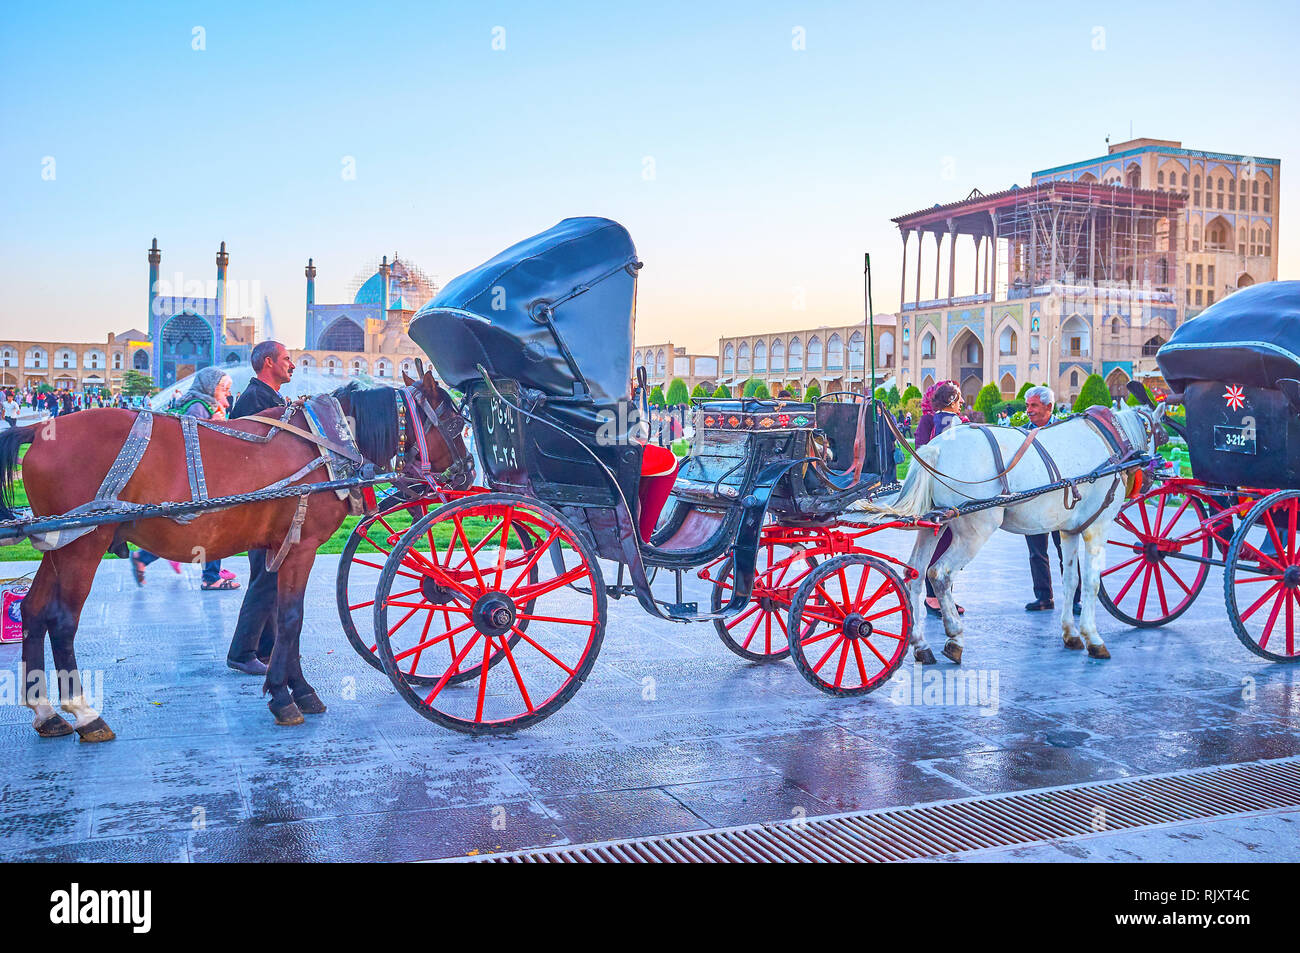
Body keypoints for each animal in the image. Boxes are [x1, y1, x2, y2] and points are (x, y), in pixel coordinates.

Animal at [0, 369, 467, 738]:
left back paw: (45, 712)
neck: (326, 444)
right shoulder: (302, 546)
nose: (467, 472)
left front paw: (294, 687)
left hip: (59, 544)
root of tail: (40, 430)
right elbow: (292, 618)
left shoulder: (281, 546)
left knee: (34, 609)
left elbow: (280, 615)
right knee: (62, 620)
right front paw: (285, 696)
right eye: (452, 421)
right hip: (84, 542)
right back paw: (84, 713)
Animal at [878, 405, 1164, 665]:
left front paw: (1071, 634)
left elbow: (1071, 580)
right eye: (1159, 436)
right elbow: (1092, 583)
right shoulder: (1098, 526)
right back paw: (955, 637)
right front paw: (1093, 638)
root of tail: (935, 449)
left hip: (935, 523)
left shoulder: (1068, 530)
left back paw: (920, 644)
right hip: (976, 526)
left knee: (915, 574)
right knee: (940, 573)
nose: (1153, 473)